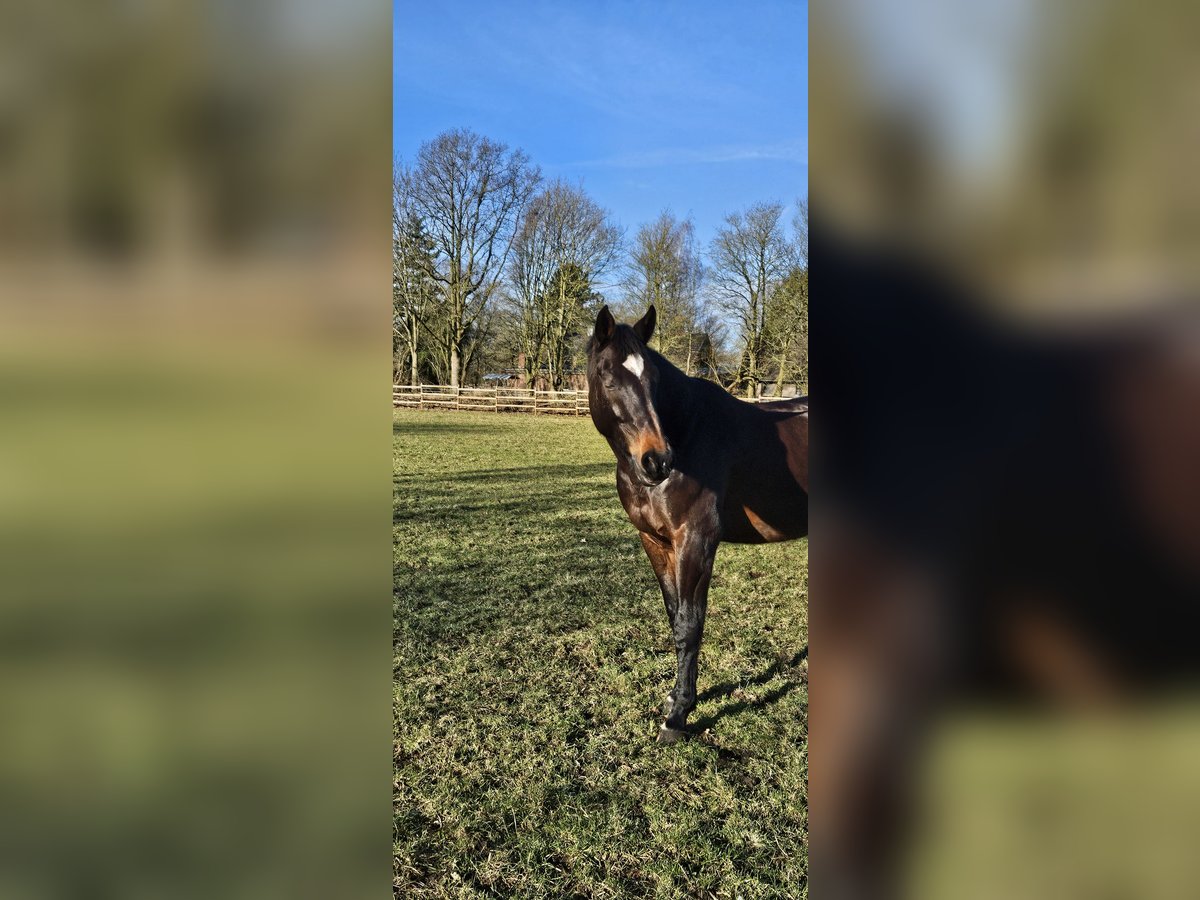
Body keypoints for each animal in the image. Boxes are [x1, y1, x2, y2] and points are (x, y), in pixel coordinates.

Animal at [588, 307, 811, 744]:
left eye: (653, 380)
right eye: (607, 375)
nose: (656, 460)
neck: (690, 434)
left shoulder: (697, 542)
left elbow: (690, 625)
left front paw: (678, 718)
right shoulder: (655, 542)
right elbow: (675, 616)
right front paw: (675, 699)